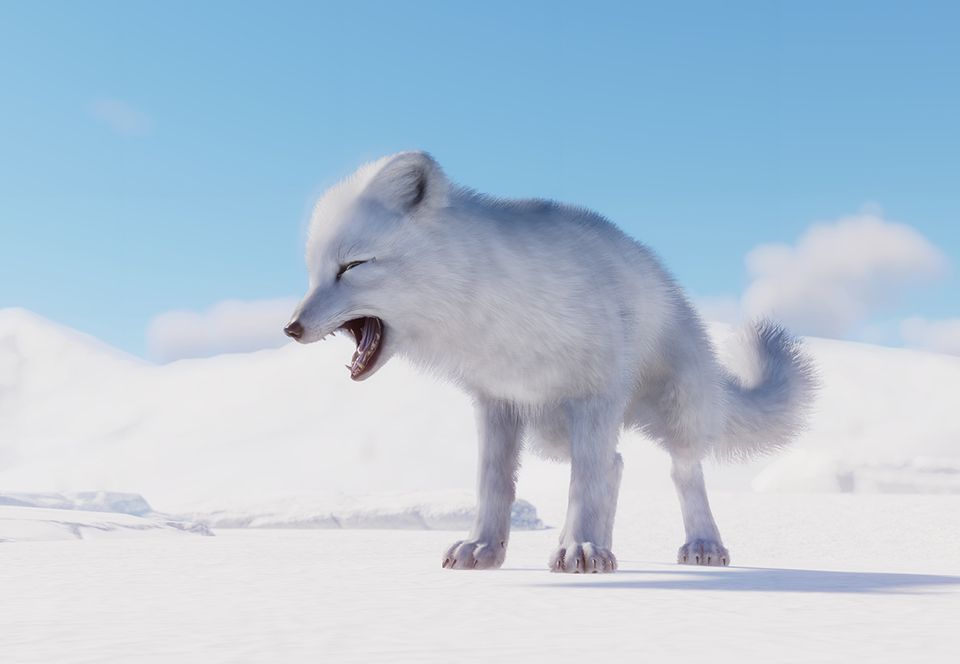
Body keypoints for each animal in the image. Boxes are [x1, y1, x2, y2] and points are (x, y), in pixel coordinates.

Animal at [286, 150, 816, 572]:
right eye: (314, 271)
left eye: (353, 266)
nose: (291, 327)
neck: (488, 305)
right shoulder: (495, 401)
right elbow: (494, 483)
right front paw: (484, 549)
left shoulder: (596, 392)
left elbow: (584, 484)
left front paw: (580, 550)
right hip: (550, 435)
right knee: (616, 464)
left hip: (671, 411)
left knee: (680, 470)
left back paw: (698, 545)